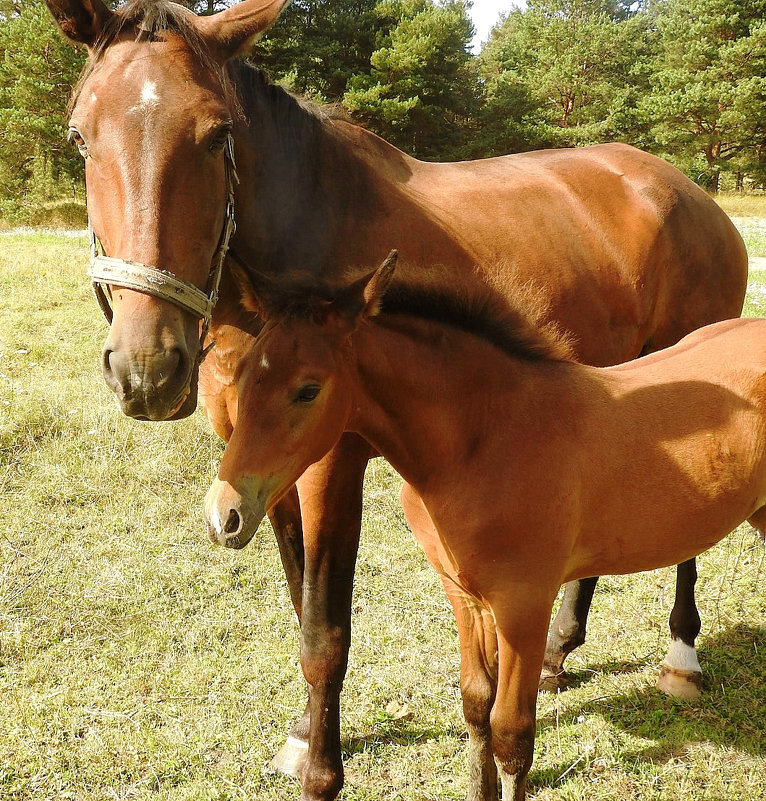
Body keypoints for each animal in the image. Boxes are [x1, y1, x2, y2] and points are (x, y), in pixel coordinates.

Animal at [202, 258, 766, 800]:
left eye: (308, 390)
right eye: (242, 374)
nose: (225, 514)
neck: (487, 439)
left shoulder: (523, 604)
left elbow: (511, 734)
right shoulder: (466, 597)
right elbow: (476, 705)